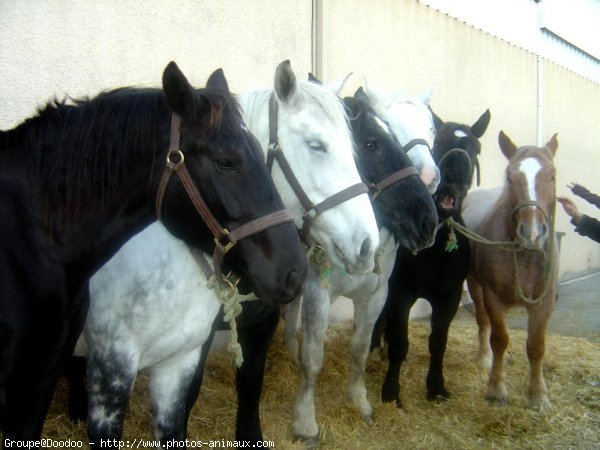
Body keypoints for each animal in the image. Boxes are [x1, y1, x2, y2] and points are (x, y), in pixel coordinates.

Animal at [284, 84, 438, 442]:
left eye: (432, 130)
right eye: (370, 143)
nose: (427, 221)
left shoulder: (375, 296)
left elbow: (359, 349)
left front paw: (359, 402)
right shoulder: (318, 293)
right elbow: (312, 360)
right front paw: (305, 421)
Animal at [370, 109, 492, 408]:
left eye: (476, 148)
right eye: (439, 143)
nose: (454, 178)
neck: (434, 250)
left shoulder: (448, 297)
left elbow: (438, 342)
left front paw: (436, 386)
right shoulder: (401, 294)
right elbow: (400, 342)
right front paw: (391, 390)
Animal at [464, 129, 556, 408]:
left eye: (552, 176)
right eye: (509, 177)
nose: (533, 233)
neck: (524, 254)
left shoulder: (544, 301)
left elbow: (536, 345)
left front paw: (538, 396)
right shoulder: (493, 297)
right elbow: (500, 339)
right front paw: (496, 388)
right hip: (474, 284)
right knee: (483, 321)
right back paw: (485, 358)